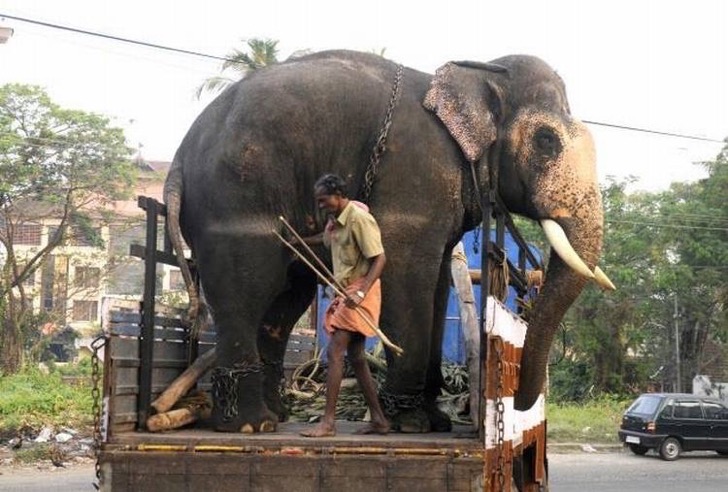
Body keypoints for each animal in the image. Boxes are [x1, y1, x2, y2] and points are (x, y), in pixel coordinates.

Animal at [164, 49, 614, 433]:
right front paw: (411, 423)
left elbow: (438, 284)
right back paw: (250, 425)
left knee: (286, 297)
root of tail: (179, 161)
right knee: (247, 288)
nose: (518, 405)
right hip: (233, 201)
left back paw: (274, 416)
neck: (472, 74)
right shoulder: (414, 176)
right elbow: (407, 270)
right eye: (546, 141)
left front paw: (436, 421)